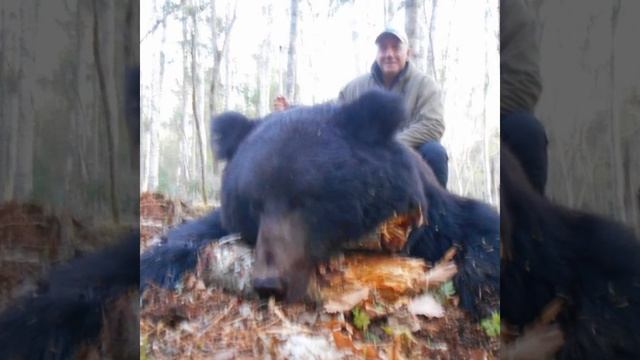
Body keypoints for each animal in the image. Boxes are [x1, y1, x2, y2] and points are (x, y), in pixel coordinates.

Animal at [141, 89, 500, 318]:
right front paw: (151, 267)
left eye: (308, 199)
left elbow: (478, 225)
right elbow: (189, 234)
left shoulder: (430, 218)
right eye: (253, 204)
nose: (269, 283)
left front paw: (485, 292)